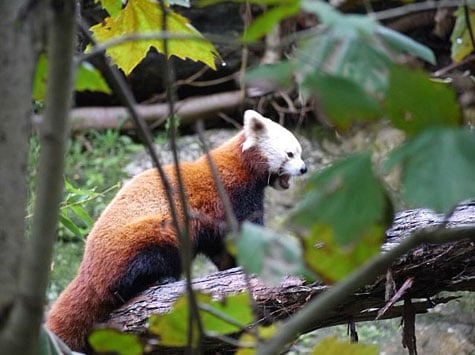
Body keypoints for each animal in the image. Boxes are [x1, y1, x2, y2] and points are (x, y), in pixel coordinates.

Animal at [46, 110, 306, 350]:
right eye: (290, 154)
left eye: (300, 153)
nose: (303, 169)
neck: (241, 165)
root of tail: (86, 268)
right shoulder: (232, 195)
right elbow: (241, 231)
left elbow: (220, 247)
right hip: (146, 236)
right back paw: (158, 279)